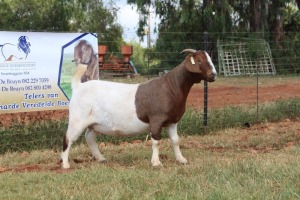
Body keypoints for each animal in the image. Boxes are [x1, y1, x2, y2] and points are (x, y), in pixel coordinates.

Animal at [61, 48, 217, 169]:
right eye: (199, 60)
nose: (213, 75)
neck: (171, 86)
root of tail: (78, 86)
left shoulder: (172, 122)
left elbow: (175, 140)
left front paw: (181, 160)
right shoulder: (156, 120)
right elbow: (156, 141)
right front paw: (156, 163)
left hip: (94, 123)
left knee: (90, 138)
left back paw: (101, 159)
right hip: (77, 119)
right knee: (68, 138)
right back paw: (65, 164)